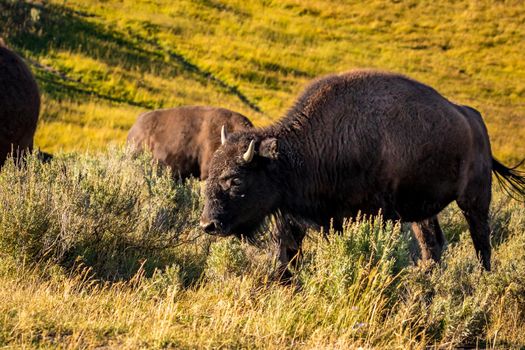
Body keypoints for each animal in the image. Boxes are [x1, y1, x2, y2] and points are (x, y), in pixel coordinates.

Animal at [200, 69, 524, 278]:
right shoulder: (297, 216)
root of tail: (473, 119)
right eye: (210, 176)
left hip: (475, 198)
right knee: (433, 243)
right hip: (423, 210)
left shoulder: (374, 213)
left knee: (481, 239)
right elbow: (288, 254)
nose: (207, 225)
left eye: (235, 179)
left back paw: (484, 277)